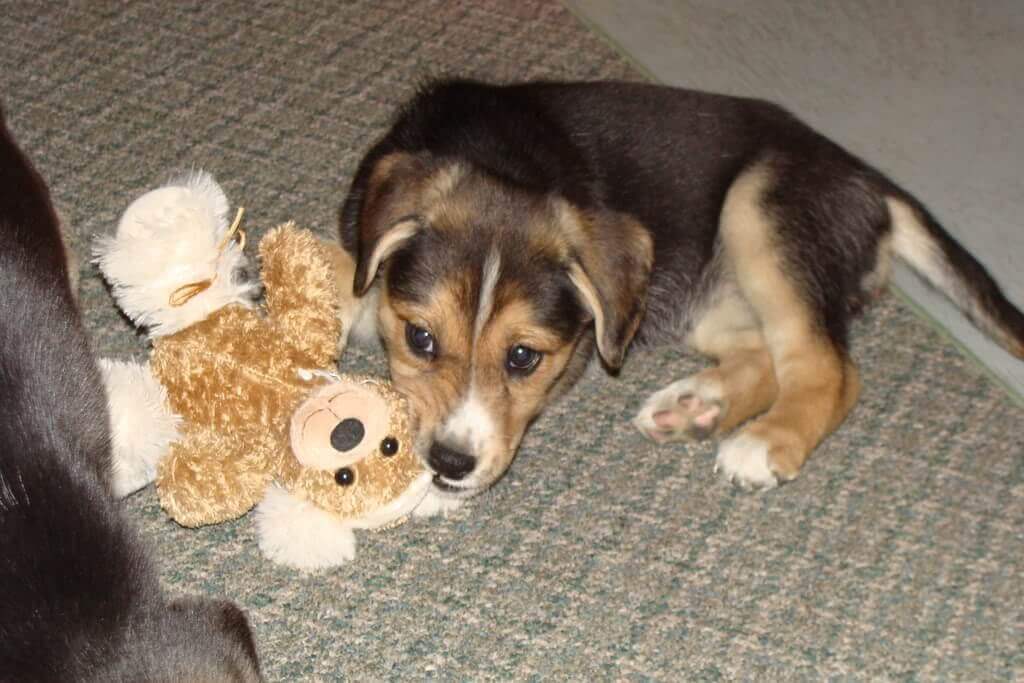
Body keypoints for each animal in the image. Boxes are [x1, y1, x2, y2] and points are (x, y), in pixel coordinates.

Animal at [342, 78, 1024, 497]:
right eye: (420, 339)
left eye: (523, 358)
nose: (450, 463)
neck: (499, 156)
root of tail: (869, 181)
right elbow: (354, 280)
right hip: (706, 291)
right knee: (767, 352)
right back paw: (698, 408)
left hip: (762, 208)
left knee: (829, 367)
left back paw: (766, 441)